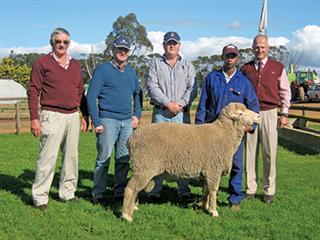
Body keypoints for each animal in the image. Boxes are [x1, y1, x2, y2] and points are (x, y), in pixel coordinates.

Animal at [121, 102, 258, 222]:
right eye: (241, 113)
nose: (258, 116)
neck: (224, 134)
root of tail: (131, 139)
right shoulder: (214, 169)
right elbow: (213, 191)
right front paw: (214, 211)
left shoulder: (206, 171)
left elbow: (206, 190)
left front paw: (205, 207)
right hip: (144, 165)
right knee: (130, 189)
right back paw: (126, 215)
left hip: (141, 167)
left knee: (135, 189)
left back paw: (134, 207)